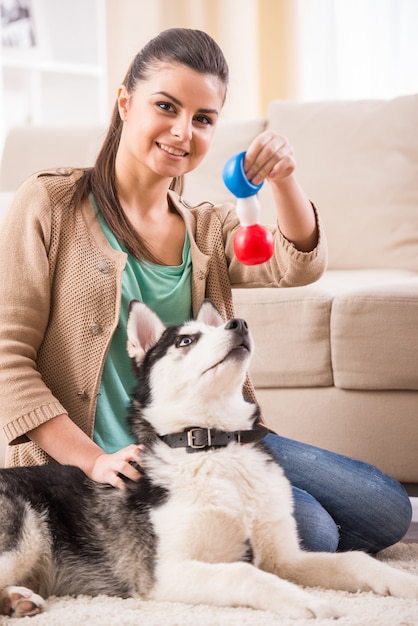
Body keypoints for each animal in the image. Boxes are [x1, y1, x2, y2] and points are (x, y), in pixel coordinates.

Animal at [0, 300, 418, 616]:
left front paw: (406, 582)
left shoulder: (284, 557)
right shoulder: (164, 574)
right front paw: (304, 601)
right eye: (186, 340)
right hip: (23, 529)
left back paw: (17, 600)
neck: (215, 445)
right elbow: (244, 574)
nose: (240, 323)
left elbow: (355, 560)